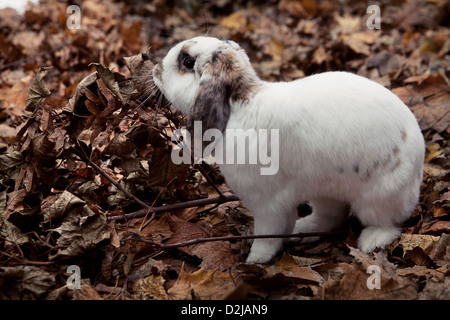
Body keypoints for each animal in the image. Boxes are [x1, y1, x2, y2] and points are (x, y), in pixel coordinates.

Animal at [152, 37, 426, 262]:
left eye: (188, 62)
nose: (155, 69)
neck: (239, 105)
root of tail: (418, 165)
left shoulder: (267, 204)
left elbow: (269, 234)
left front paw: (255, 260)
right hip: (325, 190)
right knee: (331, 216)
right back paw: (302, 230)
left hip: (377, 198)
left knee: (389, 223)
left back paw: (371, 242)